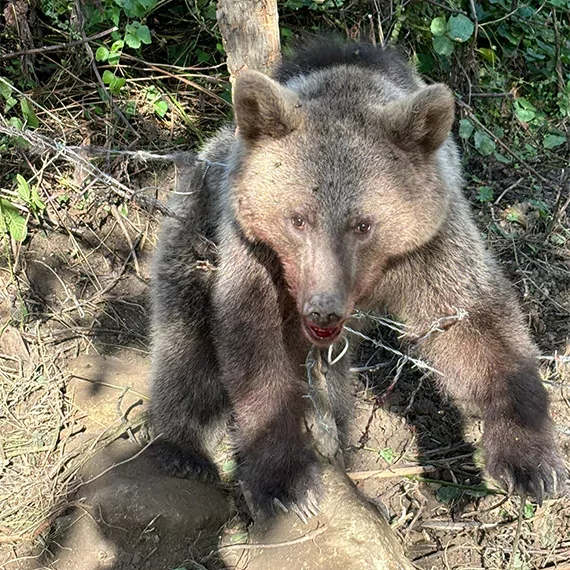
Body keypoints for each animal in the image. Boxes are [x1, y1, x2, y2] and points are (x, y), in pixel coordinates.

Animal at [149, 34, 564, 516]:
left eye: (363, 224)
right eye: (297, 219)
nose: (322, 310)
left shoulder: (430, 246)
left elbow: (475, 325)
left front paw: (531, 461)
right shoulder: (257, 257)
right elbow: (254, 345)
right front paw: (285, 481)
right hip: (198, 220)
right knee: (186, 337)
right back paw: (182, 449)